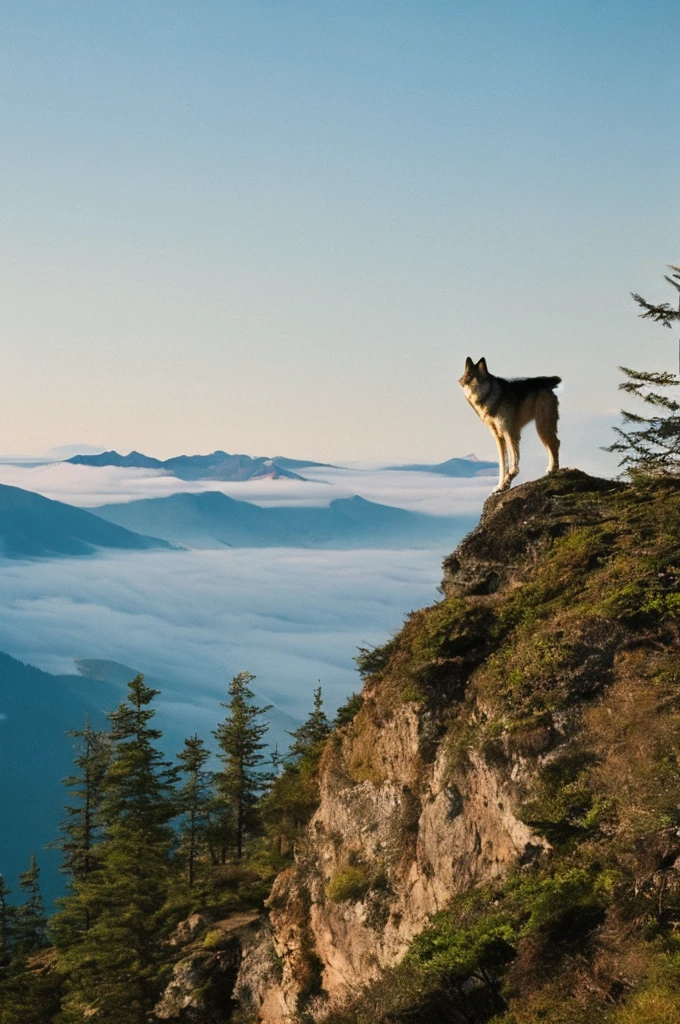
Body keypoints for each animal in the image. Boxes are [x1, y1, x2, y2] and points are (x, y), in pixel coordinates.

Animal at [458, 356, 561, 491]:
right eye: (469, 382)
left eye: (478, 381)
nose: (474, 396)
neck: (493, 401)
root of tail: (549, 383)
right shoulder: (498, 437)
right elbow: (502, 466)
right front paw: (501, 486)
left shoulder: (510, 433)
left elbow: (512, 464)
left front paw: (509, 479)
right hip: (542, 429)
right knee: (552, 445)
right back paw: (551, 469)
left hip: (541, 427)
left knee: (555, 443)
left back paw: (554, 470)